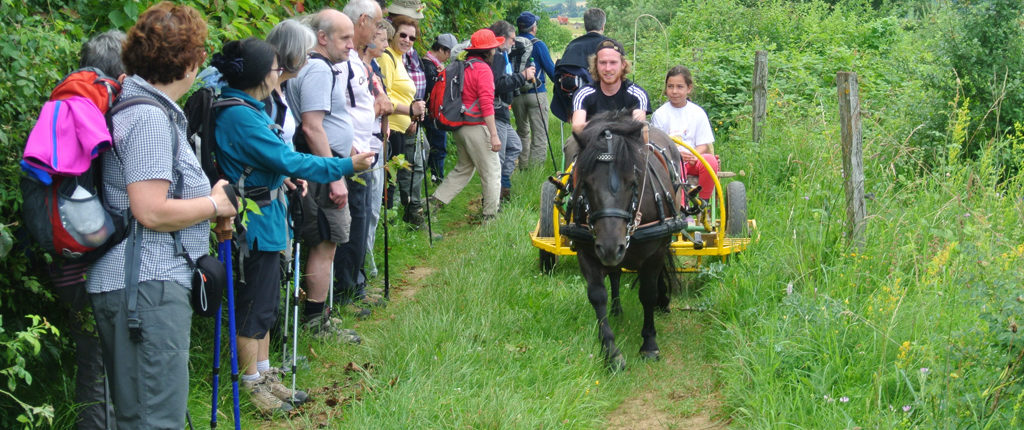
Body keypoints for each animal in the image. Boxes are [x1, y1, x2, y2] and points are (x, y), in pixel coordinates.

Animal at [561, 110, 688, 368]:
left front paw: (649, 344)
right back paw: (617, 309)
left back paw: (662, 300)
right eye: (586, 183)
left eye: (633, 182)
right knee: (615, 274)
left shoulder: (654, 253)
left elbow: (647, 293)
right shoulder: (587, 251)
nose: (610, 247)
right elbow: (597, 295)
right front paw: (611, 351)